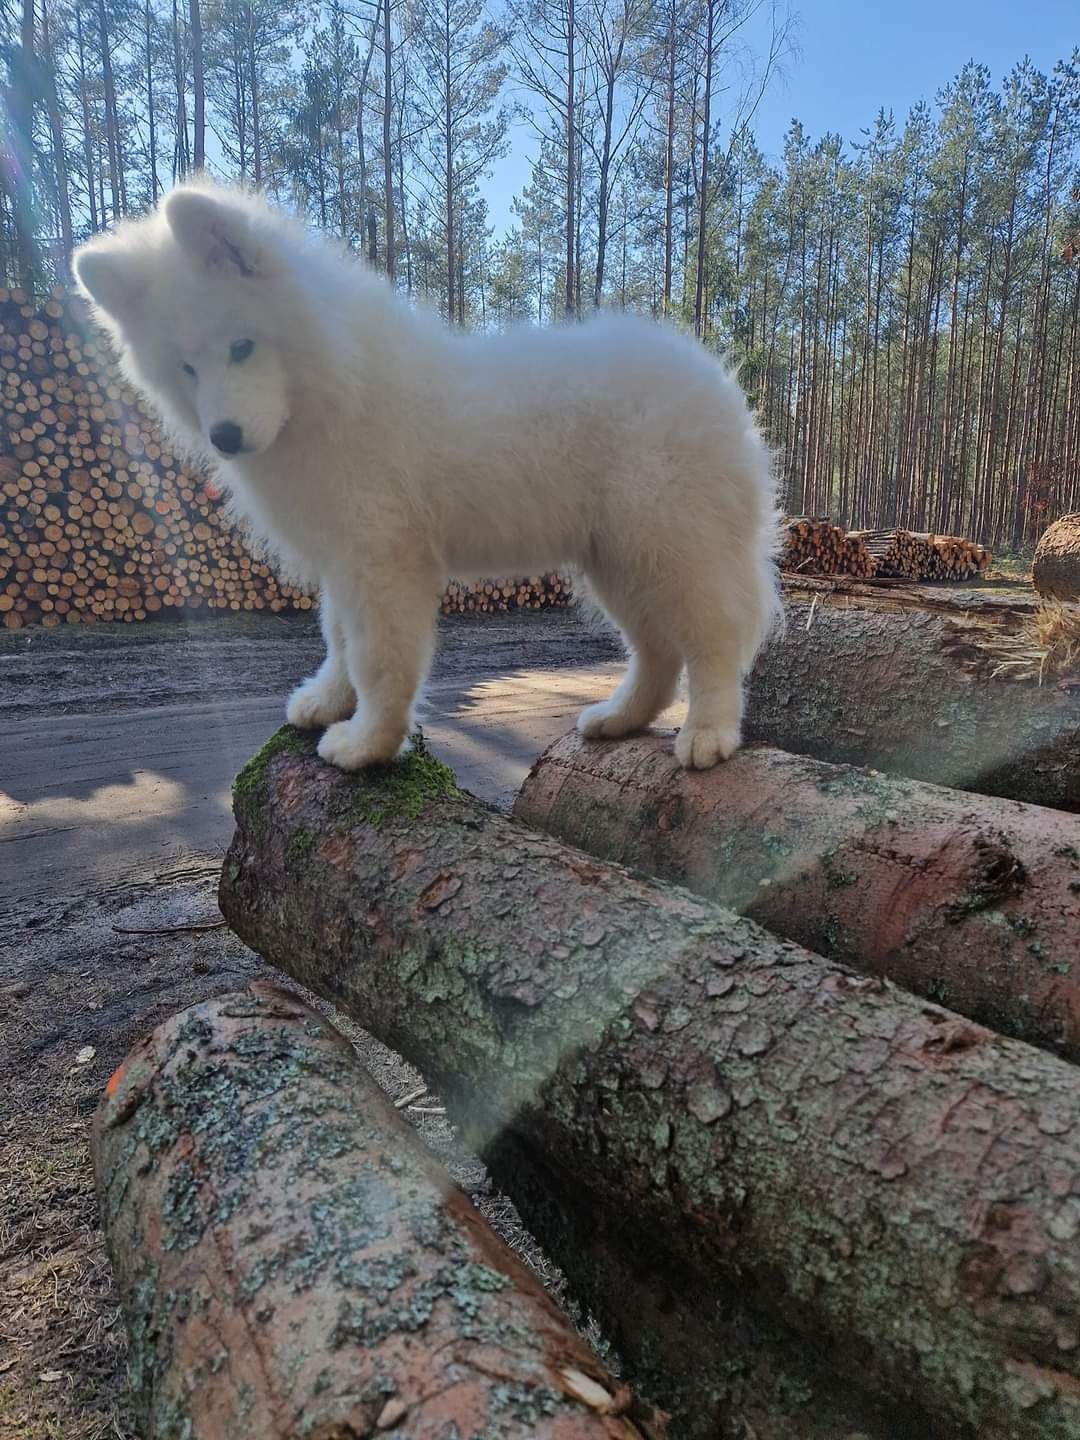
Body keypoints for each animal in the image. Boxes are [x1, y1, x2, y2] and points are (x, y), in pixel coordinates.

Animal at [76, 184, 783, 771]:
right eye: (186, 368)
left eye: (242, 346)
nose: (223, 435)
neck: (332, 389)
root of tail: (717, 380)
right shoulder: (343, 559)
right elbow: (337, 638)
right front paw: (327, 701)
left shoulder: (382, 558)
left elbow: (377, 657)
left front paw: (366, 745)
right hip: (618, 560)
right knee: (658, 653)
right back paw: (619, 718)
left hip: (670, 546)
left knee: (715, 639)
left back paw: (709, 734)